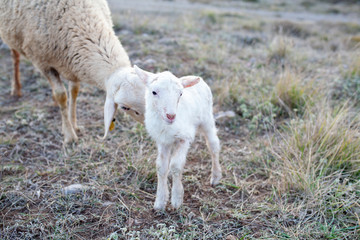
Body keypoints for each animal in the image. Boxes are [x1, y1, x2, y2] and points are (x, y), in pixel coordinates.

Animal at [0, 0, 146, 142]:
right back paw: (16, 88)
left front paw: (73, 124)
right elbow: (61, 95)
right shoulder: (43, 63)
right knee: (15, 56)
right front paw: (69, 135)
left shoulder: (72, 63)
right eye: (124, 107)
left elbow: (74, 91)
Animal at [134, 64, 221, 209]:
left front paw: (176, 199)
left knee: (213, 146)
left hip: (207, 120)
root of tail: (198, 79)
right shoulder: (163, 141)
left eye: (180, 94)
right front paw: (160, 202)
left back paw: (215, 177)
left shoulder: (184, 138)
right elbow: (161, 167)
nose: (171, 115)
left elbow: (175, 166)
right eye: (154, 92)